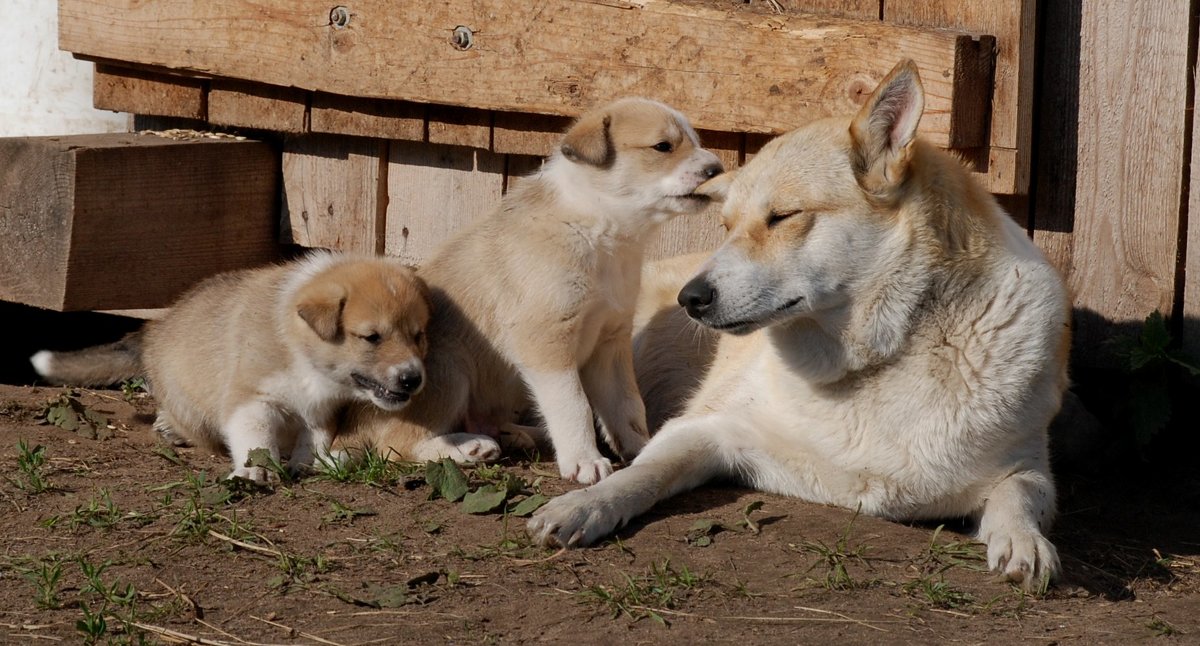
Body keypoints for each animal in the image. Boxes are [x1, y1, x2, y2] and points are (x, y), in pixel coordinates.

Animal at [29, 248, 436, 480]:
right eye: (372, 337)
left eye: (418, 335)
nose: (412, 379)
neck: (301, 352)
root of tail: (153, 331)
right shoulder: (252, 399)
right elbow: (256, 440)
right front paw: (254, 471)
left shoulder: (320, 411)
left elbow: (313, 441)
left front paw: (304, 465)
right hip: (190, 404)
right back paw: (170, 428)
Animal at [333, 96, 720, 482]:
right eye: (663, 146)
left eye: (695, 142)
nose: (716, 169)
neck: (598, 230)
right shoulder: (547, 342)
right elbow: (574, 406)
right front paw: (584, 460)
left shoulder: (611, 343)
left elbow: (628, 405)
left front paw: (642, 450)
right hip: (450, 368)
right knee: (396, 446)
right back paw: (468, 448)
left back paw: (513, 435)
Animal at [530, 60, 1075, 588]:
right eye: (726, 227)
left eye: (783, 217)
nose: (691, 298)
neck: (881, 356)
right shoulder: (702, 428)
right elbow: (640, 475)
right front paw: (585, 505)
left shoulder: (1028, 467)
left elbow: (1017, 496)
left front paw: (1023, 542)